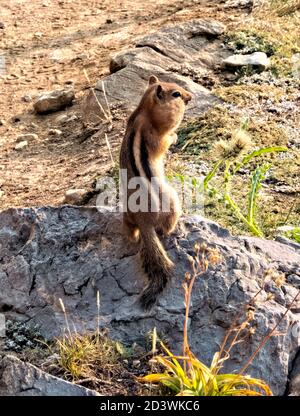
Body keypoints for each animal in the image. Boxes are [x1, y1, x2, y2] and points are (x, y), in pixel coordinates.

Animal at [119, 75, 192, 308]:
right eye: (176, 94)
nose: (190, 97)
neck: (143, 111)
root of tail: (145, 223)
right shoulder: (154, 136)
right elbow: (164, 142)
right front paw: (175, 136)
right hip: (173, 201)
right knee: (165, 229)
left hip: (127, 215)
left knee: (130, 230)